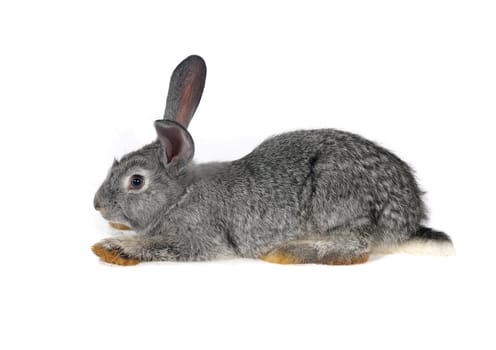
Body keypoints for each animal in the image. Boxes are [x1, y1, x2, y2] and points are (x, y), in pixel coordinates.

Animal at [93, 54, 454, 264]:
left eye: (136, 181)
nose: (97, 205)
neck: (179, 196)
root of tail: (408, 222)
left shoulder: (202, 236)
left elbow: (163, 246)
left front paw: (114, 247)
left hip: (336, 197)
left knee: (356, 246)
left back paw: (289, 251)